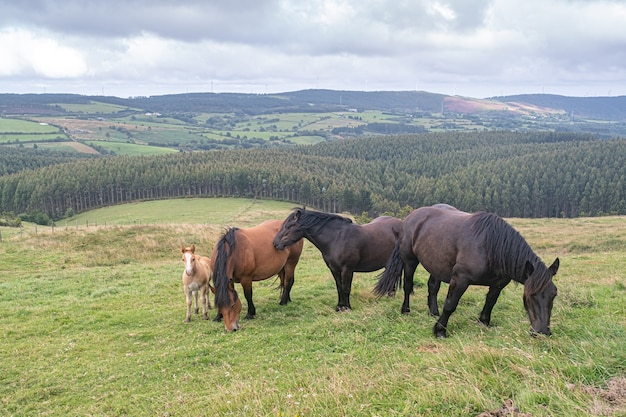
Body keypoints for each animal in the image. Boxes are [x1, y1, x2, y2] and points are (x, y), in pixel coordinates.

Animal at [272, 206, 400, 310]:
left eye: (289, 226)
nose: (275, 243)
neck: (336, 239)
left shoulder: (347, 269)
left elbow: (346, 288)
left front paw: (347, 308)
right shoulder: (334, 269)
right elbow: (339, 287)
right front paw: (339, 307)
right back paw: (390, 296)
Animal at [372, 203, 560, 336]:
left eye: (554, 294)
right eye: (531, 295)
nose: (542, 331)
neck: (490, 247)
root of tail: (409, 218)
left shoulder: (498, 284)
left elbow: (490, 302)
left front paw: (483, 322)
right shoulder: (460, 279)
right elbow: (450, 304)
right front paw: (440, 330)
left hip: (435, 264)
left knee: (432, 287)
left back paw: (433, 312)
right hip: (410, 261)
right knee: (408, 285)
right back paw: (406, 311)